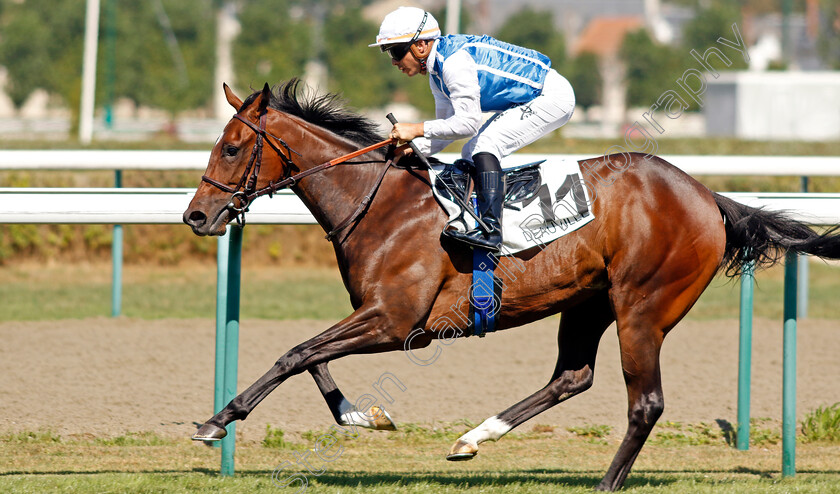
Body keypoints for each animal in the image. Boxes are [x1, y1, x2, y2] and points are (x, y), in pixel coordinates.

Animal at [184, 81, 840, 490]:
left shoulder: (396, 322)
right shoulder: (377, 315)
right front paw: (363, 417)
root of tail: (709, 197)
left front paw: (218, 420)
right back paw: (474, 437)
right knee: (572, 376)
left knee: (645, 402)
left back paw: (604, 483)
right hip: (587, 303)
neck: (383, 203)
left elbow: (294, 353)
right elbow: (308, 356)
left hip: (642, 308)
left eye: (232, 147)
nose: (195, 216)